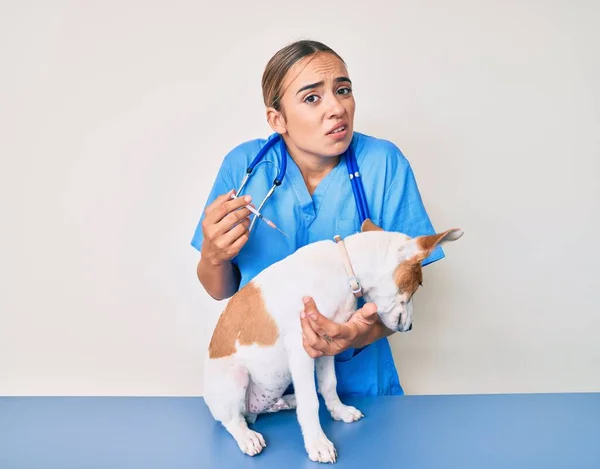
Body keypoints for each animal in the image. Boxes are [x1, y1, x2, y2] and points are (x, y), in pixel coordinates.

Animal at [203, 218, 464, 460]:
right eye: (418, 284)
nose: (410, 327)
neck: (344, 270)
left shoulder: (325, 344)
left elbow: (329, 385)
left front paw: (339, 411)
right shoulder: (301, 349)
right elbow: (311, 402)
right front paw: (318, 443)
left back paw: (288, 401)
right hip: (236, 378)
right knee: (232, 420)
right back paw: (247, 435)